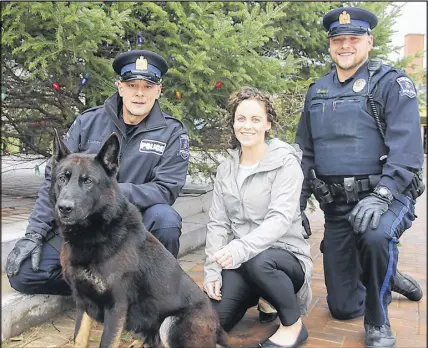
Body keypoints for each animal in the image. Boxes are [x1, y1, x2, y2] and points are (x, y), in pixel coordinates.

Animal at [49, 131, 227, 348]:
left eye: (88, 181)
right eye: (62, 178)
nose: (64, 208)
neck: (95, 234)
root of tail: (219, 329)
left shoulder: (116, 307)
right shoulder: (83, 303)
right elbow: (79, 340)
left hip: (170, 324)